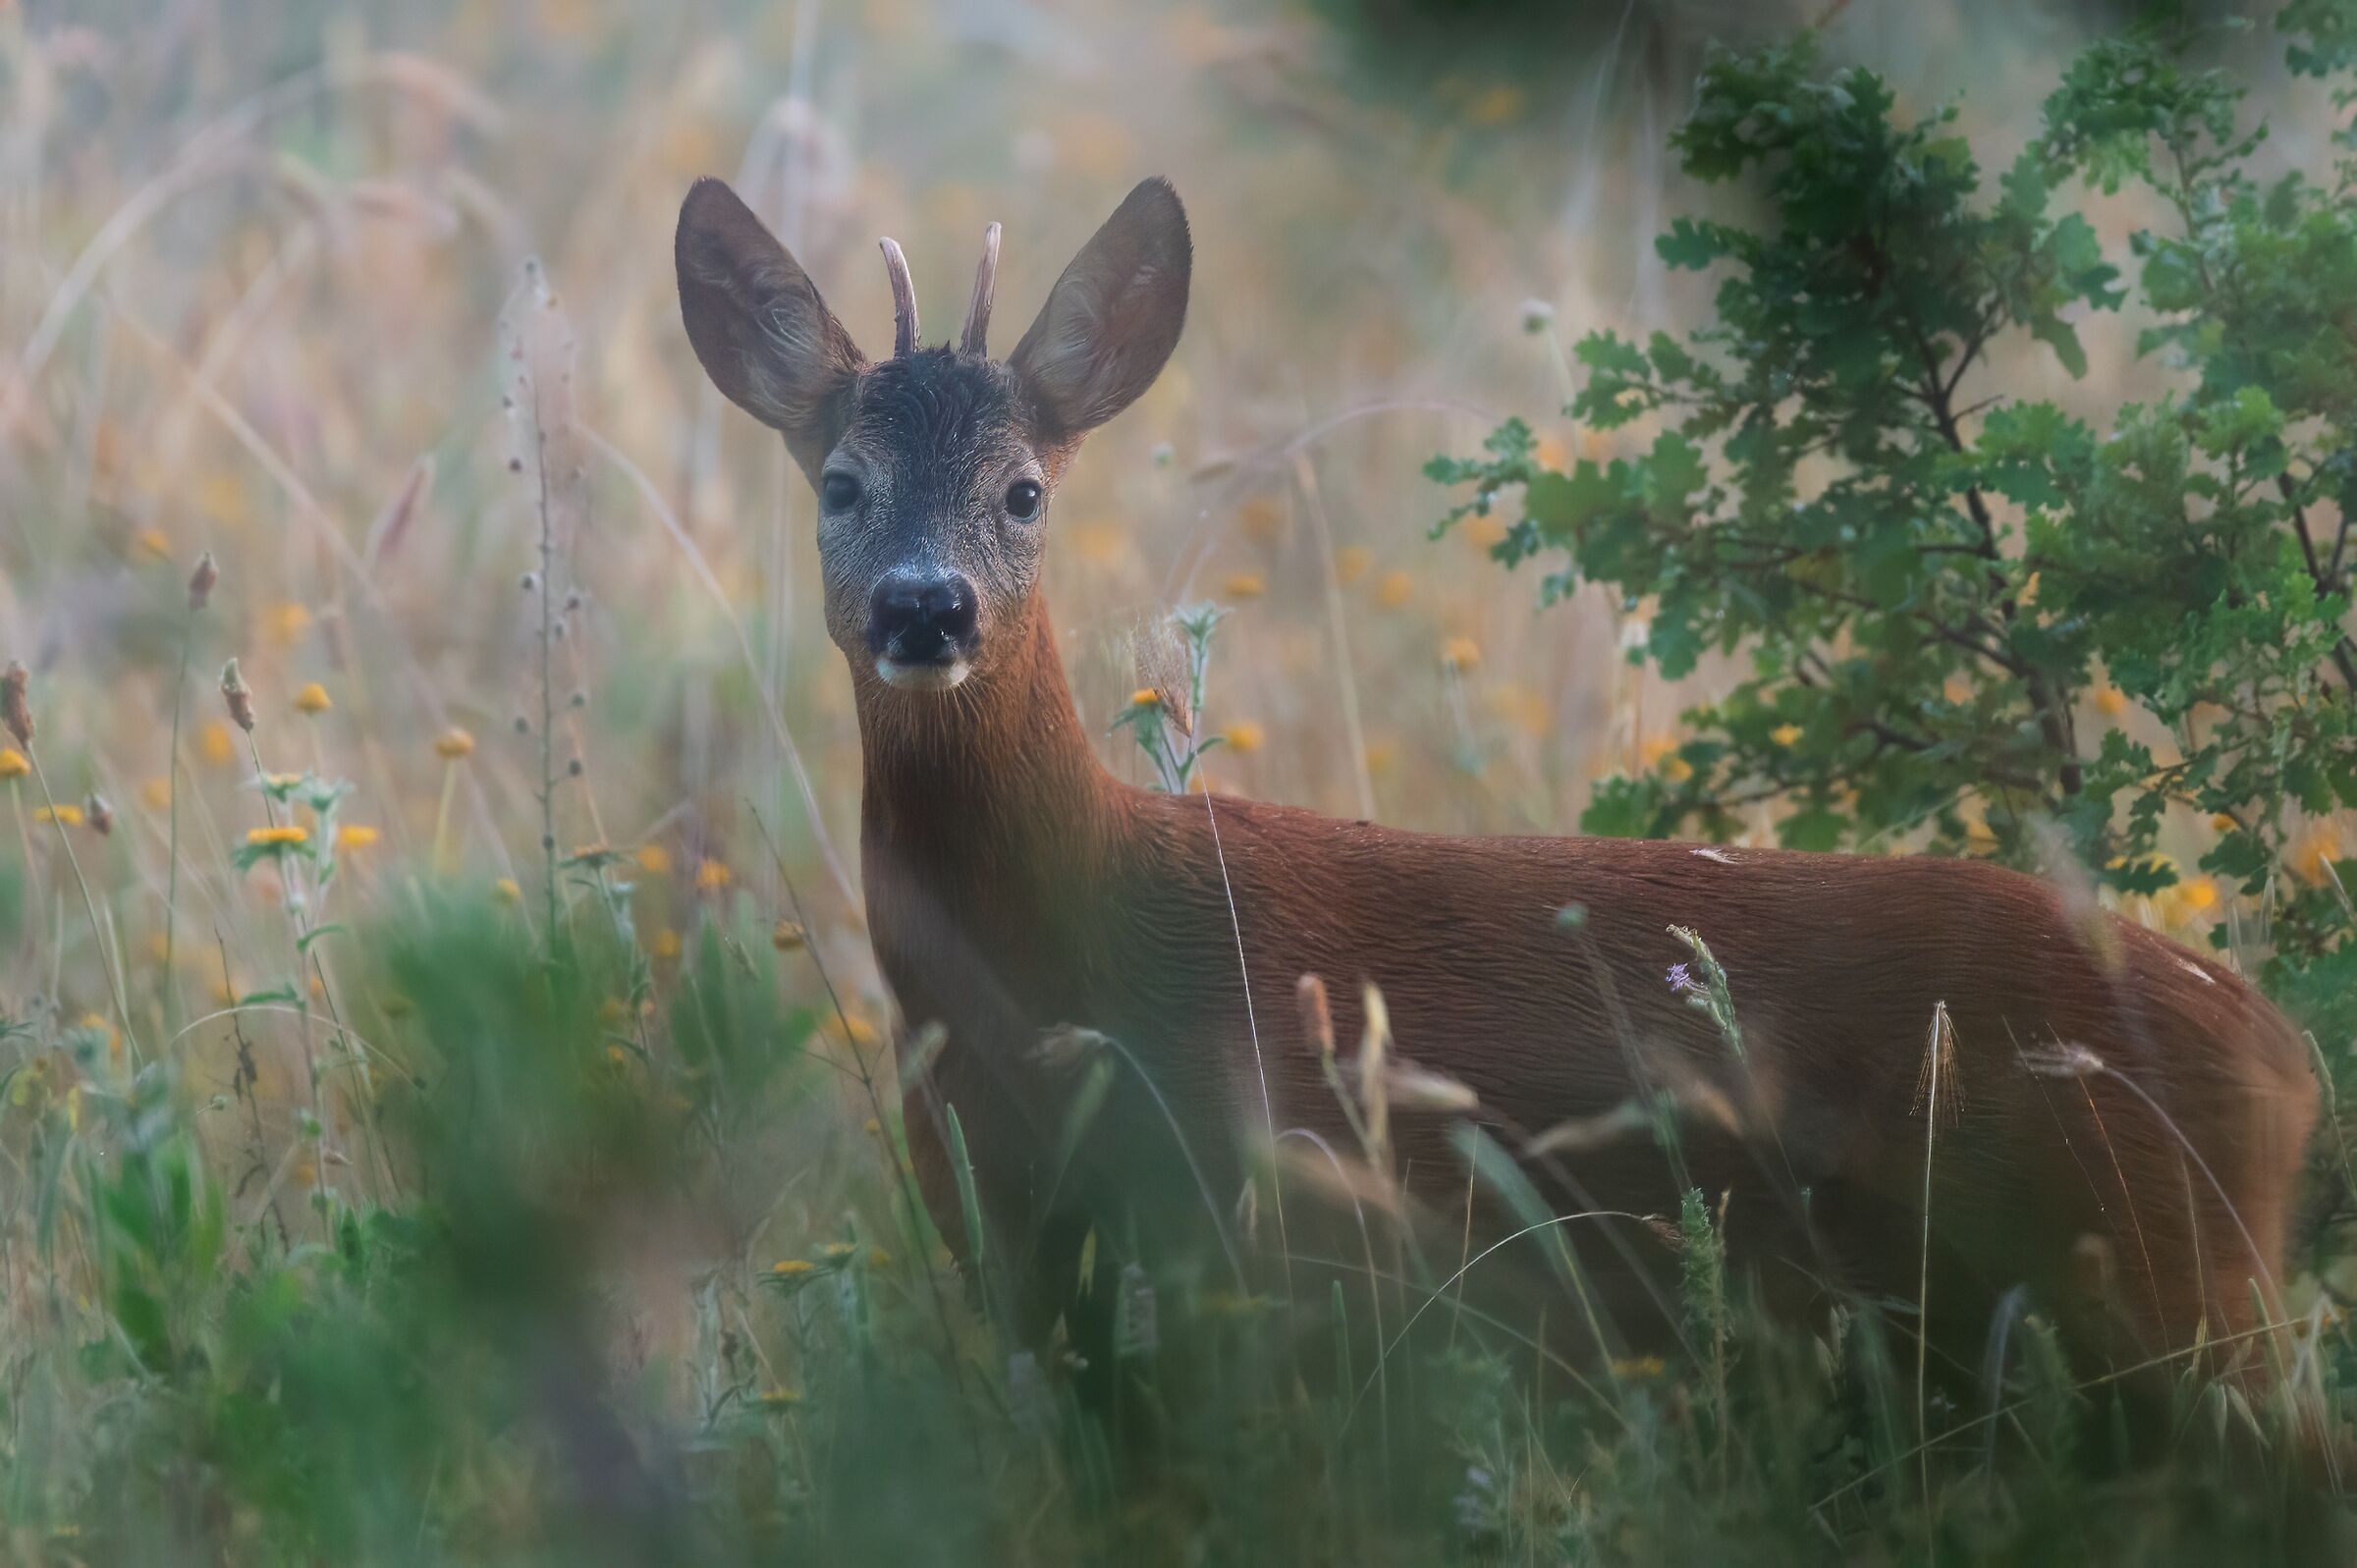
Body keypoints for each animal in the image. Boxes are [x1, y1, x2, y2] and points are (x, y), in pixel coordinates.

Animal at [674, 174, 2318, 1403]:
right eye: (840, 485)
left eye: (1023, 489)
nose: (925, 607)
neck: (1058, 970)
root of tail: (2288, 1060)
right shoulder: (1019, 1256)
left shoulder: (1273, 1223)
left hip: (2168, 1297)